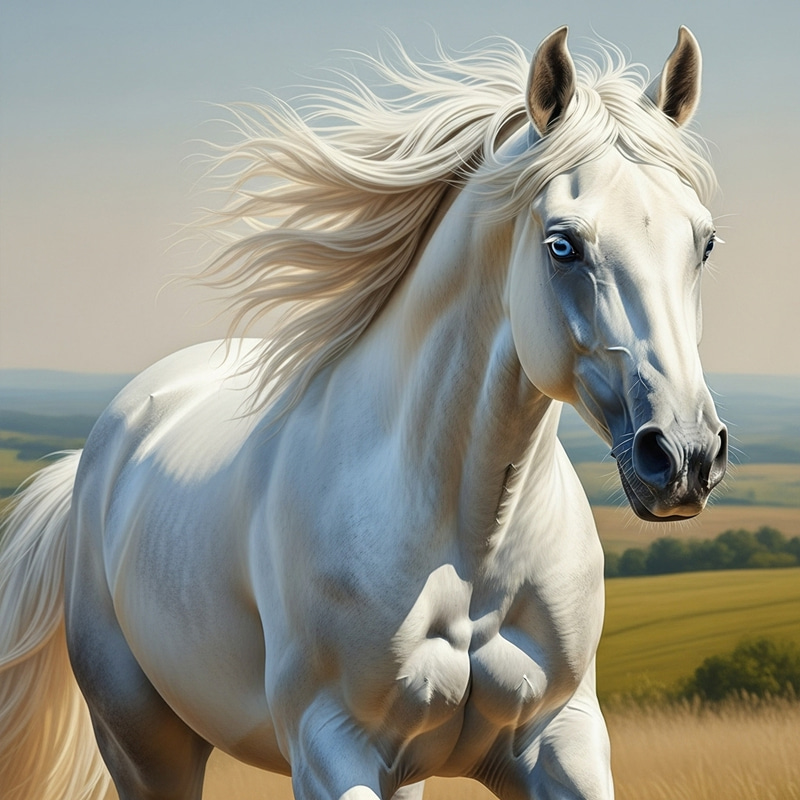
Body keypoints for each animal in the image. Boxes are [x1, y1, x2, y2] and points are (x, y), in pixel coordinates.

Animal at [0, 26, 727, 800]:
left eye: (704, 242)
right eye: (563, 245)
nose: (683, 455)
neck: (469, 539)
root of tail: (102, 448)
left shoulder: (560, 737)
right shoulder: (331, 747)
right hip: (144, 741)